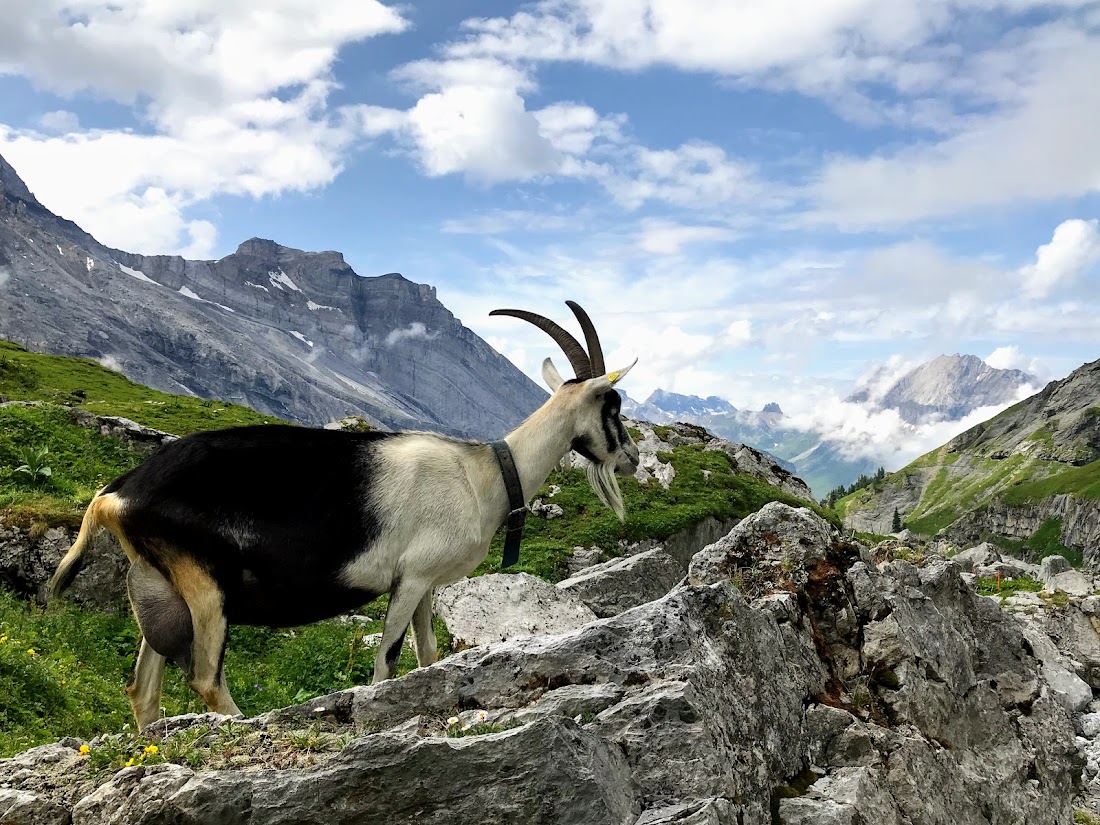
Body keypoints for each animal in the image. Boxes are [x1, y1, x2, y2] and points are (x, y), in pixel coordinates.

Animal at [47, 301, 642, 726]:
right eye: (613, 406)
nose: (633, 459)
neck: (484, 474)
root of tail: (113, 495)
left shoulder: (426, 585)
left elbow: (428, 654)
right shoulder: (410, 579)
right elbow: (387, 662)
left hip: (160, 589)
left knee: (143, 689)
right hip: (205, 586)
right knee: (205, 680)